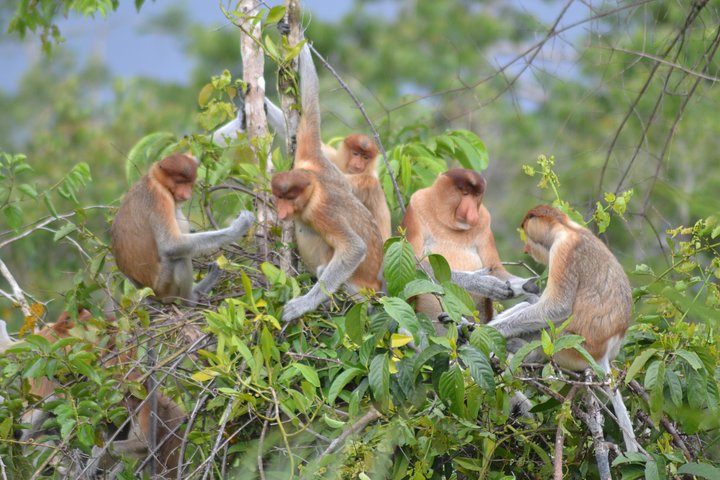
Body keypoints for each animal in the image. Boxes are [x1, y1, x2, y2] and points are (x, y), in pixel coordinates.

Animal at [110, 153, 255, 304]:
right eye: (179, 182)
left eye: (189, 183)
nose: (186, 194)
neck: (156, 180)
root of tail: (150, 295)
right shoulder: (160, 198)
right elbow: (170, 245)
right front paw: (241, 225)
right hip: (166, 287)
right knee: (180, 258)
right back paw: (191, 298)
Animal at [270, 45, 384, 322]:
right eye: (279, 196)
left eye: (290, 198)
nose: (282, 211)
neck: (314, 186)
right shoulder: (311, 159)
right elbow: (310, 113)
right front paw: (302, 48)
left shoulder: (323, 210)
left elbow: (354, 248)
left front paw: (300, 306)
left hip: (360, 290)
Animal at [401, 168, 538, 330]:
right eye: (465, 193)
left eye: (476, 195)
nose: (472, 214)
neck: (449, 223)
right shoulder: (416, 207)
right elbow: (413, 266)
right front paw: (483, 283)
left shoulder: (484, 219)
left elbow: (495, 269)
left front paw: (526, 285)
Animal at [486, 204, 638, 452]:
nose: (526, 249)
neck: (568, 227)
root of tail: (603, 355)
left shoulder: (562, 251)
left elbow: (556, 308)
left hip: (568, 348)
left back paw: (517, 347)